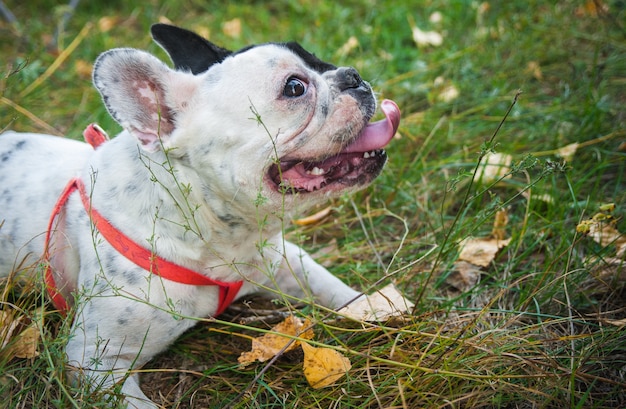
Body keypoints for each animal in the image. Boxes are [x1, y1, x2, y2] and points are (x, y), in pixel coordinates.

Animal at [0, 23, 400, 406]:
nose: (352, 75)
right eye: (295, 88)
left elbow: (327, 285)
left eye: (316, 57)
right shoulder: (95, 362)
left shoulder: (280, 258)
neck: (219, 237)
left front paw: (374, 305)